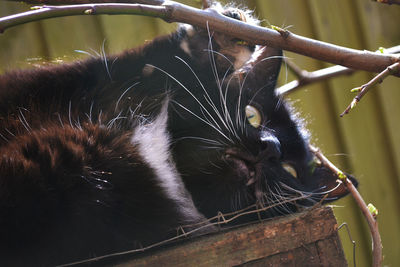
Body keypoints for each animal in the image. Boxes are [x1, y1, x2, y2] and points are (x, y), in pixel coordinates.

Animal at [0, 3, 356, 266]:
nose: (270, 148)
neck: (161, 158)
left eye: (292, 171)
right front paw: (223, 36)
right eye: (253, 115)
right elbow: (151, 62)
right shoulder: (68, 82)